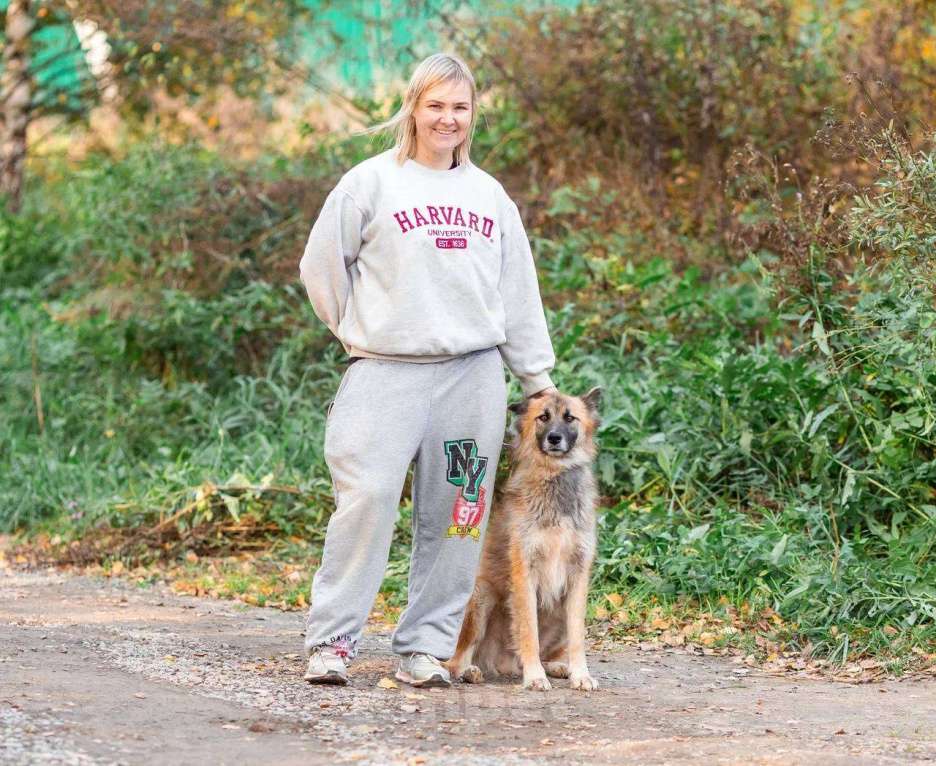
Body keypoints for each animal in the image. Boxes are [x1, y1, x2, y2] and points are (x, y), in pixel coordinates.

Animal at [450, 388, 604, 692]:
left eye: (570, 417)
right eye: (543, 417)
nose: (554, 438)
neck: (554, 478)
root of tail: (503, 664)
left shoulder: (578, 577)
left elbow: (578, 637)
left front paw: (580, 674)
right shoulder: (525, 573)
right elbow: (528, 630)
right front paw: (534, 676)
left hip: (559, 610)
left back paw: (557, 666)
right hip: (481, 595)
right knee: (455, 660)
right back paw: (469, 670)